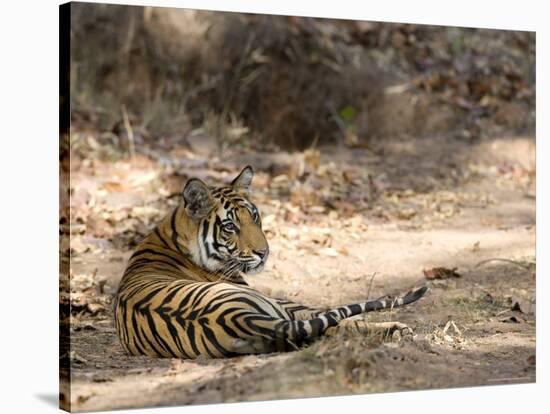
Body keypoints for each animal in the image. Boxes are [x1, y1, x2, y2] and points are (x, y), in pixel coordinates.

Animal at [114, 166, 430, 360]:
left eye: (254, 216)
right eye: (230, 227)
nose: (263, 253)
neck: (172, 233)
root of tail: (238, 318)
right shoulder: (290, 305)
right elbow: (335, 315)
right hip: (277, 308)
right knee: (334, 324)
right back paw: (397, 330)